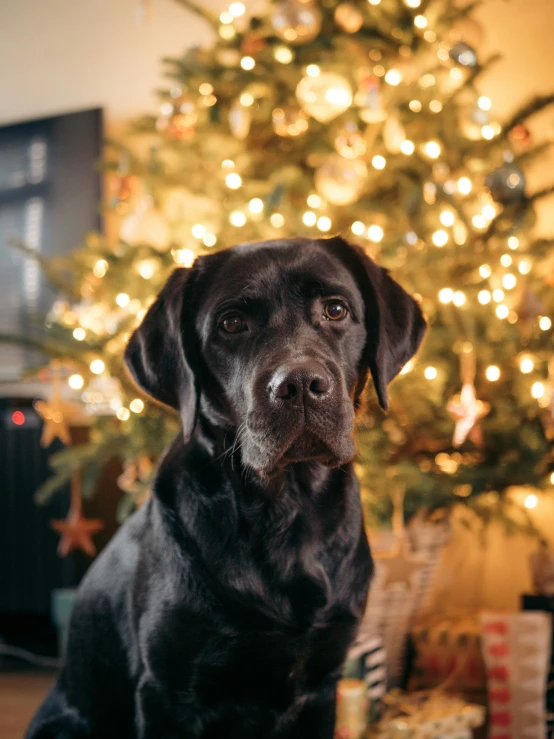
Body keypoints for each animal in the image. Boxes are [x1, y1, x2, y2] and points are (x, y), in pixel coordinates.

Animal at [28, 238, 422, 739]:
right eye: (232, 323)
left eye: (336, 309)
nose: (299, 384)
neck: (285, 512)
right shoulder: (166, 692)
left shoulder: (322, 684)